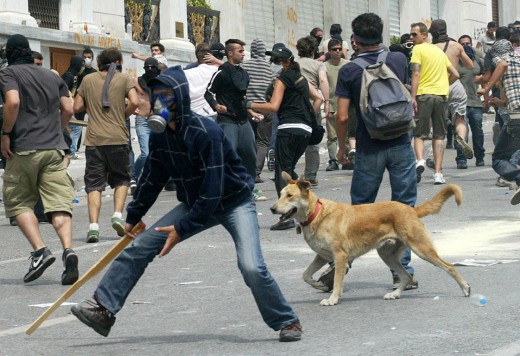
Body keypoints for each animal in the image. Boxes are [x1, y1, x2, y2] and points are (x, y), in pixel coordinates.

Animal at [272, 172, 472, 306]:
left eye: (290, 196)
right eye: (280, 194)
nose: (272, 209)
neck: (317, 213)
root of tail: (410, 209)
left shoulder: (340, 256)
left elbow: (337, 282)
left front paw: (332, 298)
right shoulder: (322, 256)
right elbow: (305, 275)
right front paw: (318, 285)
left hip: (421, 249)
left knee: (449, 266)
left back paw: (465, 287)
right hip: (387, 255)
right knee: (406, 276)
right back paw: (395, 294)